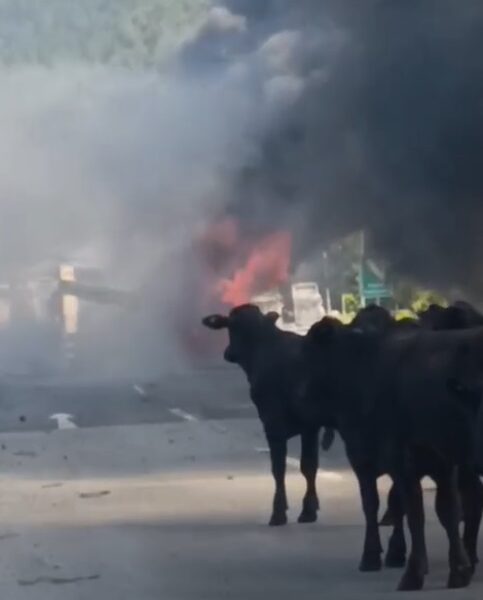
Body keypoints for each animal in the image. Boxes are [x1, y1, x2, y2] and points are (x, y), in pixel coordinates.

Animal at [202, 304, 335, 526]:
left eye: (231, 326)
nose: (228, 352)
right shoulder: (309, 428)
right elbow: (308, 466)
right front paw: (309, 509)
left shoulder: (273, 424)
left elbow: (279, 468)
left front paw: (279, 512)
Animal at [301, 317, 483, 591]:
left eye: (307, 356)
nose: (299, 397)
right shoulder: (438, 462)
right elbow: (443, 510)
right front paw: (458, 569)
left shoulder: (379, 458)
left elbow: (391, 508)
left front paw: (396, 566)